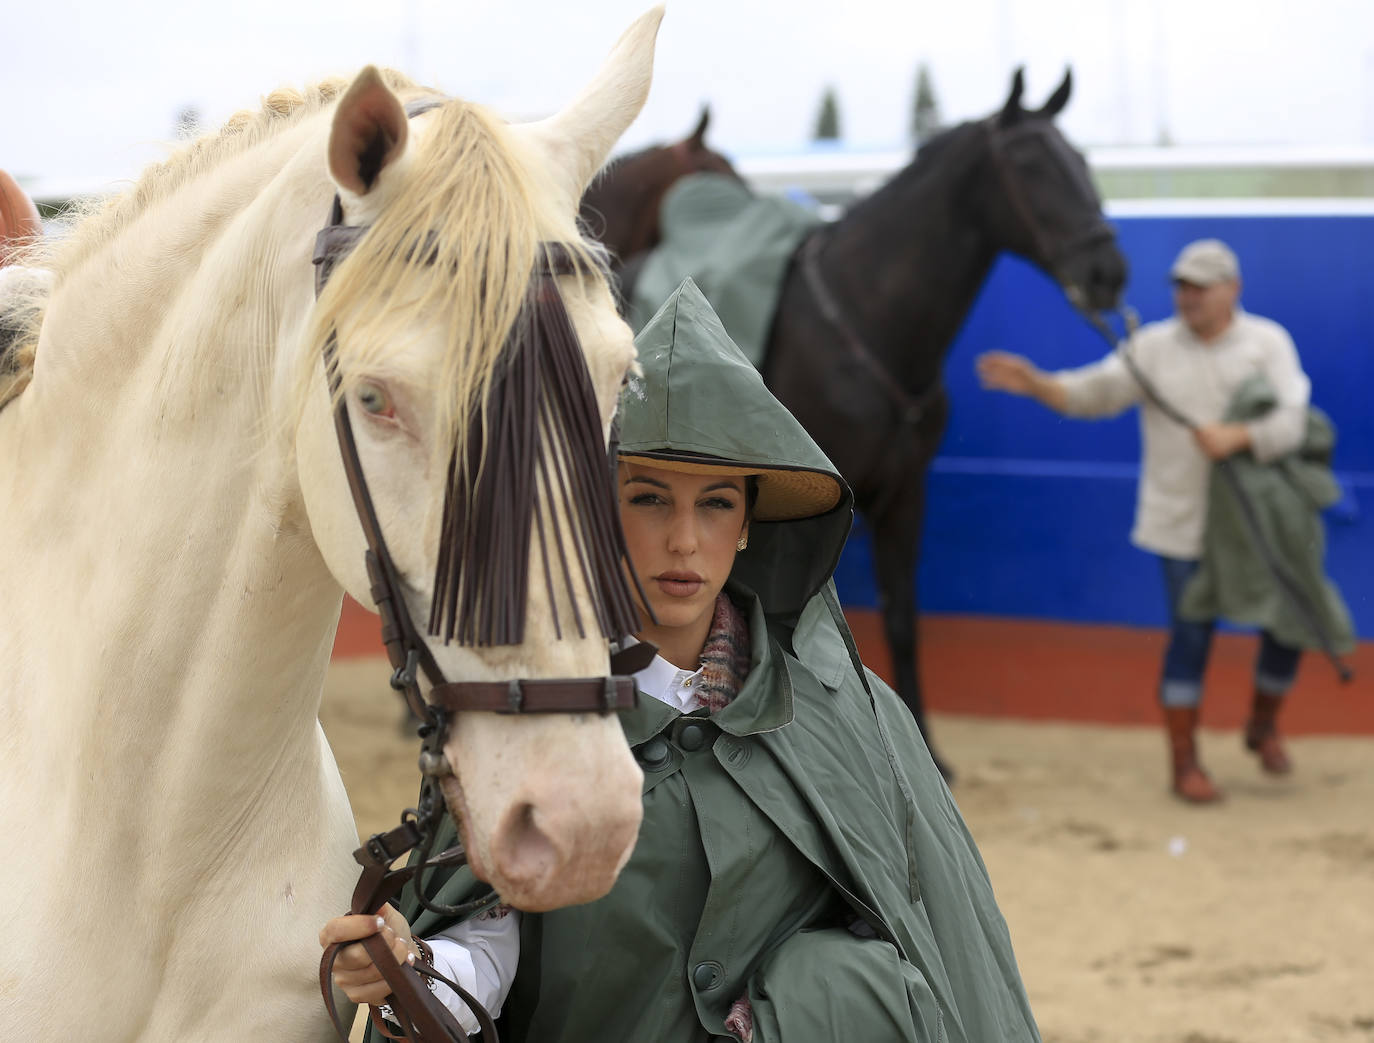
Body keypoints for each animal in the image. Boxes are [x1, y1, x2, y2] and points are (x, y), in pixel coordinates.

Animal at [579, 71, 1126, 775]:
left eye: (1081, 161)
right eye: (1031, 164)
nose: (1107, 271)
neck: (863, 321)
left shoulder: (903, 496)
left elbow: (899, 621)